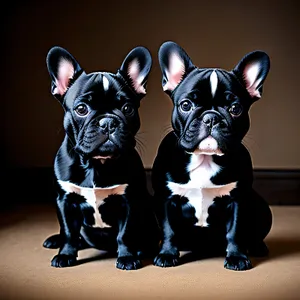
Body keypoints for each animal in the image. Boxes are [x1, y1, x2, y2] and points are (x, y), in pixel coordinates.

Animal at [43, 45, 158, 270]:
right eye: (81, 109)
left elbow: (125, 233)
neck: (96, 164)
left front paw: (127, 257)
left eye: (127, 108)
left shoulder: (129, 202)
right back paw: (55, 240)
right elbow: (68, 231)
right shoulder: (64, 201)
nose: (108, 122)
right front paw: (65, 255)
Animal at [154, 41, 274, 270]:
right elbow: (167, 229)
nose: (211, 117)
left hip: (262, 208)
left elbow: (235, 231)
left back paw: (257, 247)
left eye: (235, 108)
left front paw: (236, 257)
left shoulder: (238, 200)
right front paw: (167, 254)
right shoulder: (166, 199)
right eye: (186, 105)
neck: (205, 158)